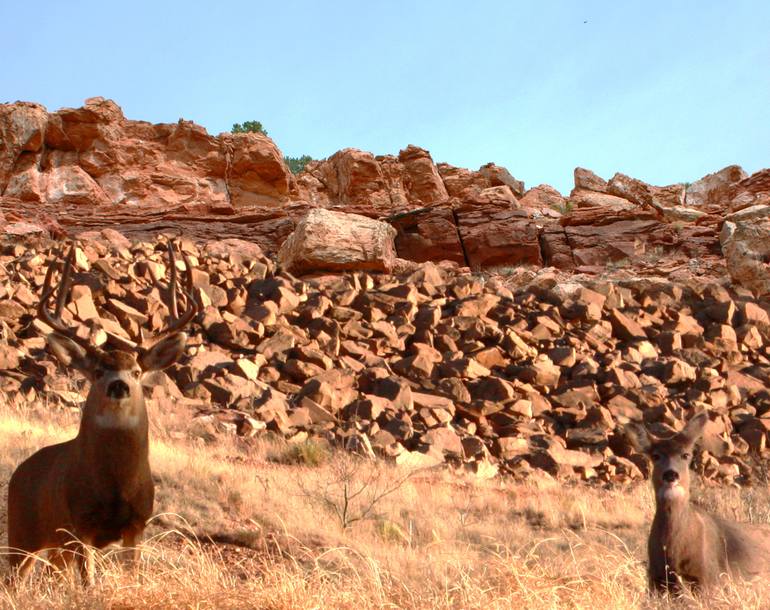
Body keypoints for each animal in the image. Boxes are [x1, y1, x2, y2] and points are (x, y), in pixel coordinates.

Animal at [5, 240, 196, 580]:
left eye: (136, 371)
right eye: (97, 371)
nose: (118, 385)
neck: (115, 487)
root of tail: (19, 471)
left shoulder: (137, 524)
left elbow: (132, 576)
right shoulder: (81, 522)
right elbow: (89, 582)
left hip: (56, 546)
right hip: (22, 532)